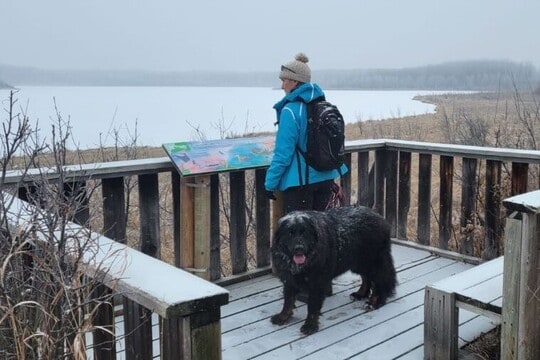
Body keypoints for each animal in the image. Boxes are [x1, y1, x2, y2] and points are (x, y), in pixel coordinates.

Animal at [270, 205, 396, 334]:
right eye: (290, 233)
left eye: (305, 233)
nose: (299, 248)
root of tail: (379, 217)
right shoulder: (289, 279)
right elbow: (288, 300)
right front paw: (283, 316)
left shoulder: (317, 282)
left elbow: (312, 306)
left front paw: (310, 325)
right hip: (359, 263)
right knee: (366, 278)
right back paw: (360, 294)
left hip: (372, 262)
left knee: (379, 281)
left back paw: (374, 302)